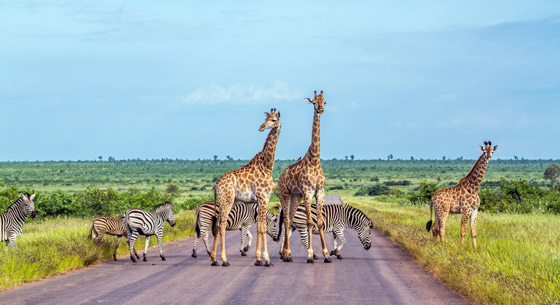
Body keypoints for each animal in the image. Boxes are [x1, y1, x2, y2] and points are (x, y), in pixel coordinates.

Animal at [209, 108, 282, 264]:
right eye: (267, 118)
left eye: (273, 119)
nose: (261, 127)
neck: (267, 166)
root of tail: (216, 185)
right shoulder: (263, 197)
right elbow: (262, 227)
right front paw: (265, 259)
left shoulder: (262, 199)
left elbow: (259, 227)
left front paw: (259, 258)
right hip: (227, 200)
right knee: (222, 225)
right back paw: (224, 259)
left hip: (227, 201)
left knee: (217, 224)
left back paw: (214, 258)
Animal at [276, 89, 330, 262]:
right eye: (314, 102)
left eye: (324, 101)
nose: (320, 109)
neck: (314, 160)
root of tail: (280, 176)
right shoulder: (307, 192)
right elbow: (309, 222)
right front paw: (310, 255)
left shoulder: (320, 192)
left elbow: (319, 222)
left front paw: (327, 254)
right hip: (284, 194)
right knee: (286, 220)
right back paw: (287, 254)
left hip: (295, 196)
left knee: (290, 218)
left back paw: (286, 254)